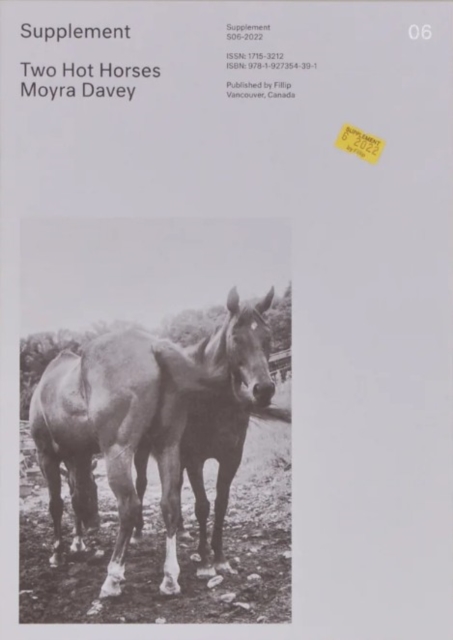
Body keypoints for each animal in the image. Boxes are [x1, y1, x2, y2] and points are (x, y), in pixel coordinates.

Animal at [29, 326, 227, 598]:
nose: (94, 525)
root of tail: (153, 347)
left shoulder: (45, 455)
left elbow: (56, 504)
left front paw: (58, 552)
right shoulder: (76, 455)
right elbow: (74, 493)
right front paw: (78, 541)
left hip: (118, 453)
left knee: (129, 507)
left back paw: (113, 577)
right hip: (166, 446)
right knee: (170, 504)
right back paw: (169, 578)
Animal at [133, 286, 277, 576]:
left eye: (267, 336)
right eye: (235, 338)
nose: (264, 390)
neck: (211, 400)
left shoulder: (231, 458)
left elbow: (221, 504)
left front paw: (219, 555)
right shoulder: (194, 459)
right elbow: (202, 505)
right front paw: (205, 558)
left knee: (175, 487)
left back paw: (180, 529)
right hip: (143, 451)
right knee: (141, 484)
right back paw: (138, 531)